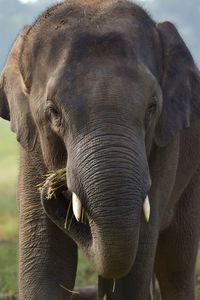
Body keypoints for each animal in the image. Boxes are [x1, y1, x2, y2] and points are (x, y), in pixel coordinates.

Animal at [0, 0, 200, 298]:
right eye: (53, 112)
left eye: (152, 107)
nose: (52, 187)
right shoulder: (31, 146)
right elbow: (45, 260)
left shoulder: (165, 144)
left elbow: (133, 266)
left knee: (175, 262)